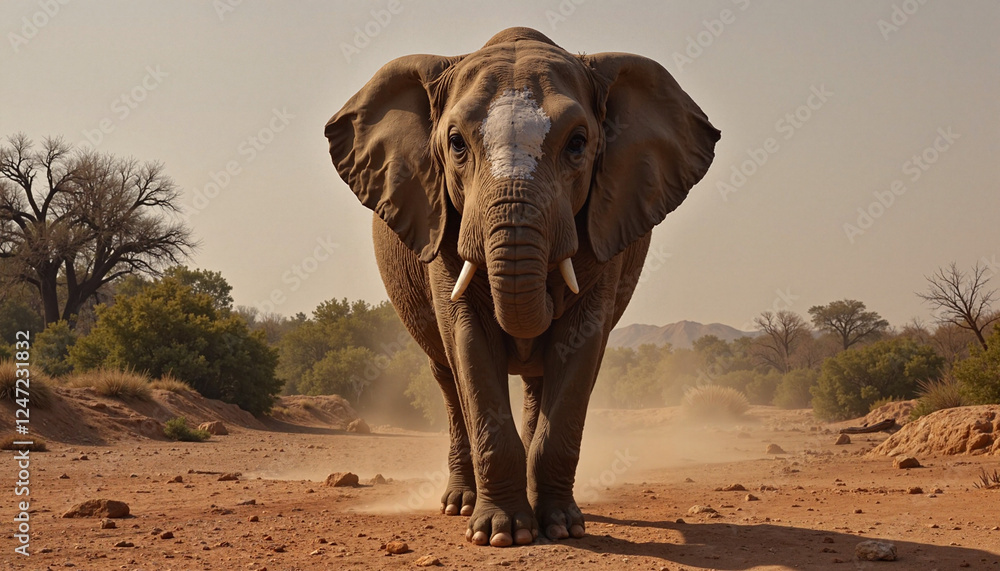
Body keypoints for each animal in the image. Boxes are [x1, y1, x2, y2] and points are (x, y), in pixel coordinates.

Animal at [325, 27, 719, 547]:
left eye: (578, 143)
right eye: (455, 143)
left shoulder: (606, 224)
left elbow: (580, 343)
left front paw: (563, 527)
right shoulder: (442, 221)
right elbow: (468, 338)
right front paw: (501, 534)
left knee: (539, 378)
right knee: (447, 378)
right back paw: (458, 504)